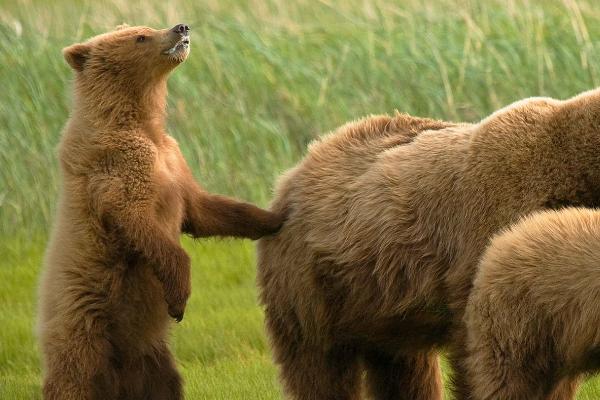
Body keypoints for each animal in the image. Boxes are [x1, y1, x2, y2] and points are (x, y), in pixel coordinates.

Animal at [39, 24, 284, 400]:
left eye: (145, 27)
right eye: (140, 37)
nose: (180, 27)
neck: (140, 121)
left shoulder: (173, 160)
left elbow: (203, 209)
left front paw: (275, 217)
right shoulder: (119, 169)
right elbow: (141, 223)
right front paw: (179, 299)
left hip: (153, 356)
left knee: (165, 383)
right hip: (84, 326)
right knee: (74, 377)